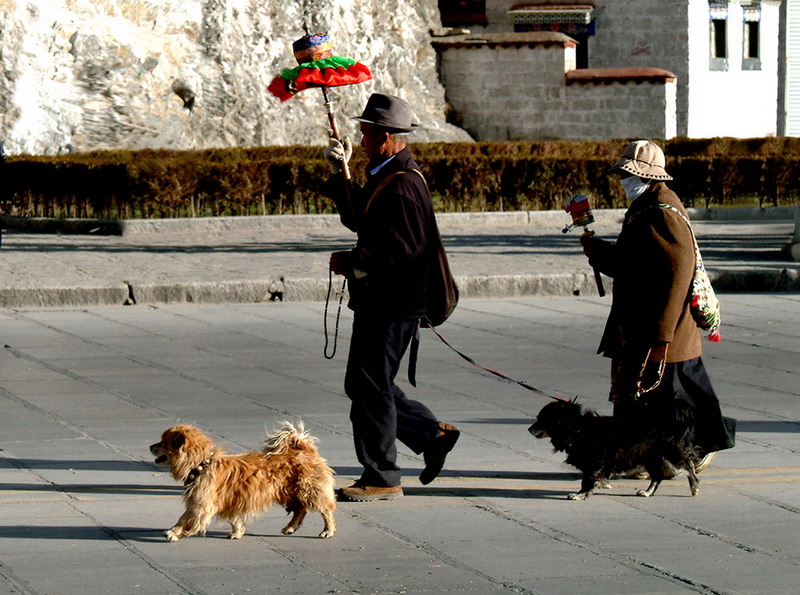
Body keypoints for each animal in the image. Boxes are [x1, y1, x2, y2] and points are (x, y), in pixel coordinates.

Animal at [149, 422, 334, 544]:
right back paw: (290, 527)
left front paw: (174, 533)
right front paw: (237, 532)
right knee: (301, 510)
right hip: (289, 493)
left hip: (308, 490)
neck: (202, 464)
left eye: (163, 442)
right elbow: (234, 519)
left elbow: (185, 519)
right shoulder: (228, 501)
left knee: (325, 510)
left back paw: (328, 530)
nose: (150, 446)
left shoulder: (201, 504)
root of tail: (304, 448)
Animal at [532, 398, 700, 500]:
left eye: (542, 420)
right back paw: (647, 492)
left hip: (668, 453)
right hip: (651, 457)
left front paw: (580, 495)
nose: (529, 428)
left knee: (687, 465)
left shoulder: (595, 463)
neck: (578, 430)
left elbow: (587, 481)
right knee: (657, 476)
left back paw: (694, 486)